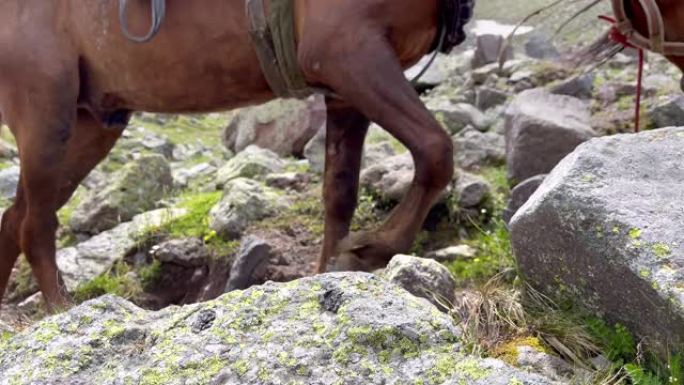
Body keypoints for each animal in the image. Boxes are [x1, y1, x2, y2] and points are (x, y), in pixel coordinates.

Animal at [0, 0, 472, 308]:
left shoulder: (344, 92)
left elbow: (340, 195)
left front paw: (332, 275)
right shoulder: (346, 50)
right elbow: (436, 151)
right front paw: (369, 249)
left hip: (92, 125)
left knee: (14, 219)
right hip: (46, 111)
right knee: (33, 224)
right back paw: (62, 308)